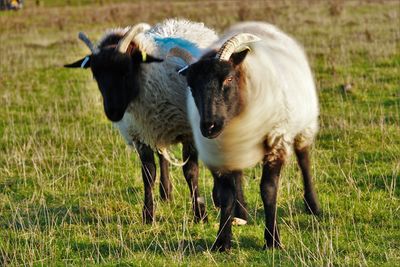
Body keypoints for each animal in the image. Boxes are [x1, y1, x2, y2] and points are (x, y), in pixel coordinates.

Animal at [64, 18, 248, 224]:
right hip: (158, 128)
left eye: (126, 70)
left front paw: (200, 214)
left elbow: (191, 172)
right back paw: (166, 193)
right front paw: (148, 215)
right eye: (96, 74)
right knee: (162, 155)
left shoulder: (189, 132)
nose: (113, 112)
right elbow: (148, 174)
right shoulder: (140, 135)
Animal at [178, 22, 322, 252]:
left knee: (304, 159)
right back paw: (240, 214)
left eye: (228, 78)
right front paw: (222, 242)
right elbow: (226, 196)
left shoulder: (276, 144)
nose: (209, 127)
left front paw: (273, 240)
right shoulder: (220, 156)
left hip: (304, 124)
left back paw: (312, 205)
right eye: (191, 87)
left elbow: (268, 190)